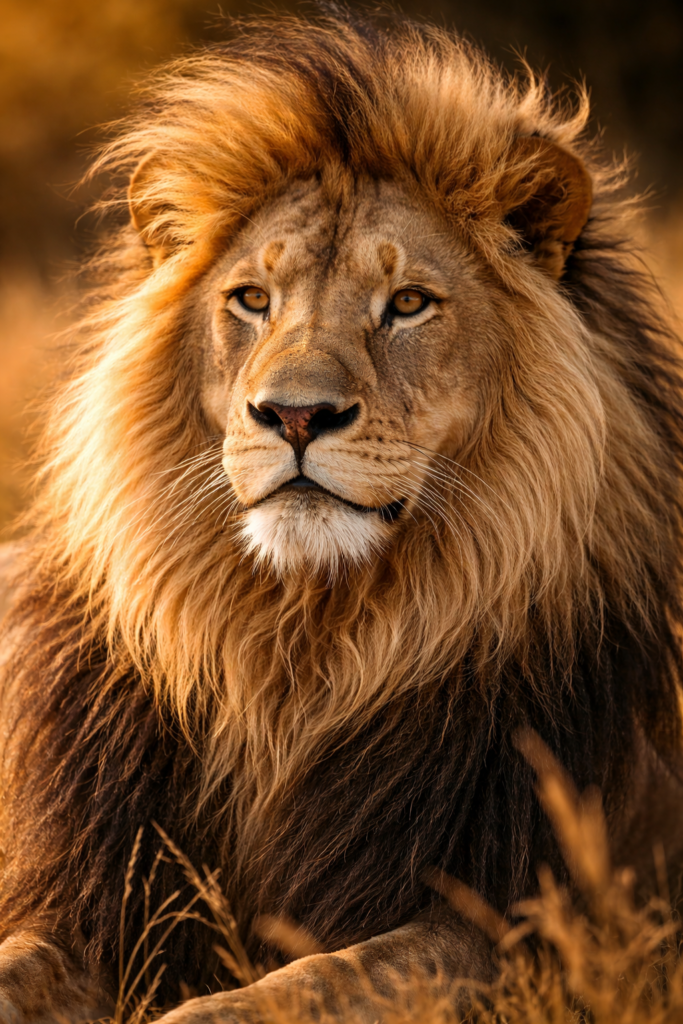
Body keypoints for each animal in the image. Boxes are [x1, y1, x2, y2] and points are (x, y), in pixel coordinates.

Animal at [2, 11, 683, 1023]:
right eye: (251, 299)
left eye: (407, 304)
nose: (293, 415)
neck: (300, 652)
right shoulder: (96, 899)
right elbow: (21, 960)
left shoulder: (540, 927)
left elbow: (321, 979)